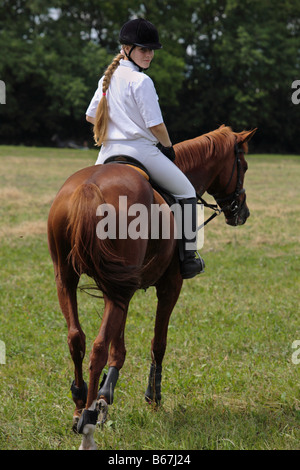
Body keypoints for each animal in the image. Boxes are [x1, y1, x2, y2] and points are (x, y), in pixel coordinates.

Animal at [47, 124, 255, 448]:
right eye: (242, 166)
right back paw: (88, 426)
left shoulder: (119, 285)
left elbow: (118, 343)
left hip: (68, 278)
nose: (241, 213)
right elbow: (158, 342)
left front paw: (106, 395)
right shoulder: (170, 284)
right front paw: (152, 397)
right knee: (97, 346)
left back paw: (81, 405)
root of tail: (88, 189)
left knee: (76, 339)